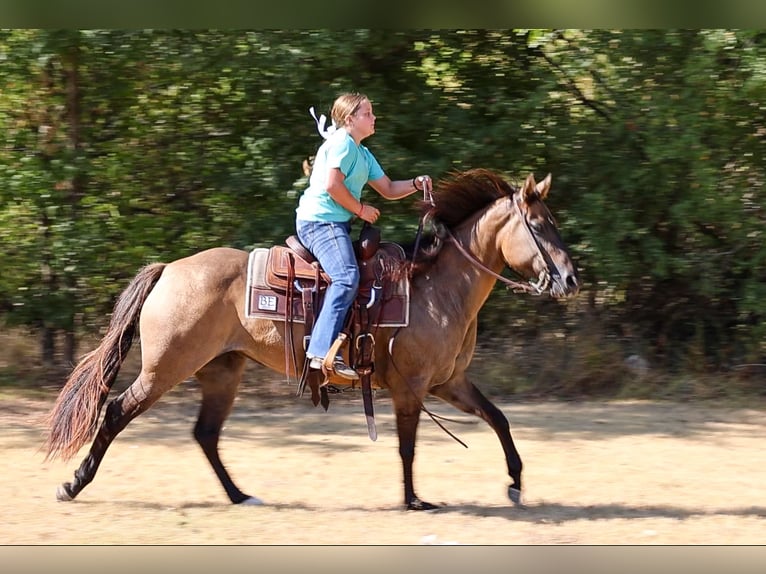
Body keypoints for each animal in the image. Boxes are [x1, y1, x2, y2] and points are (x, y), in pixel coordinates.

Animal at [44, 168, 580, 510]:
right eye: (539, 225)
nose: (571, 280)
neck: (436, 287)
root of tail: (169, 270)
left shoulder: (449, 382)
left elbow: (499, 418)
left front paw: (515, 484)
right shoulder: (410, 388)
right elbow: (408, 446)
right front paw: (414, 500)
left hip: (221, 371)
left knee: (206, 434)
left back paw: (241, 496)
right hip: (164, 369)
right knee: (116, 411)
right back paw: (72, 485)